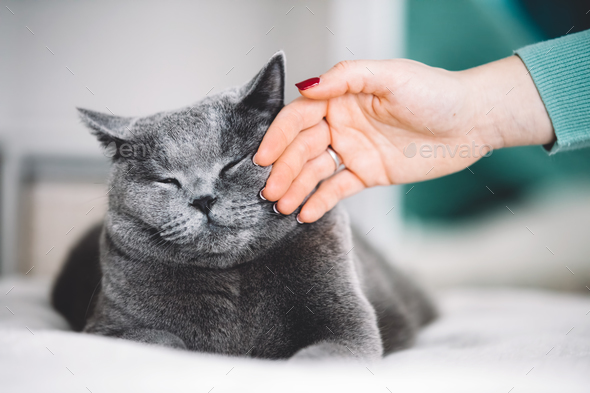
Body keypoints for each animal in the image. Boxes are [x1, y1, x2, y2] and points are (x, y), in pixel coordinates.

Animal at [51, 52, 438, 358]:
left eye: (232, 164)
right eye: (167, 180)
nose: (203, 199)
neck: (232, 276)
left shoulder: (345, 322)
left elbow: (321, 357)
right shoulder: (105, 328)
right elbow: (158, 340)